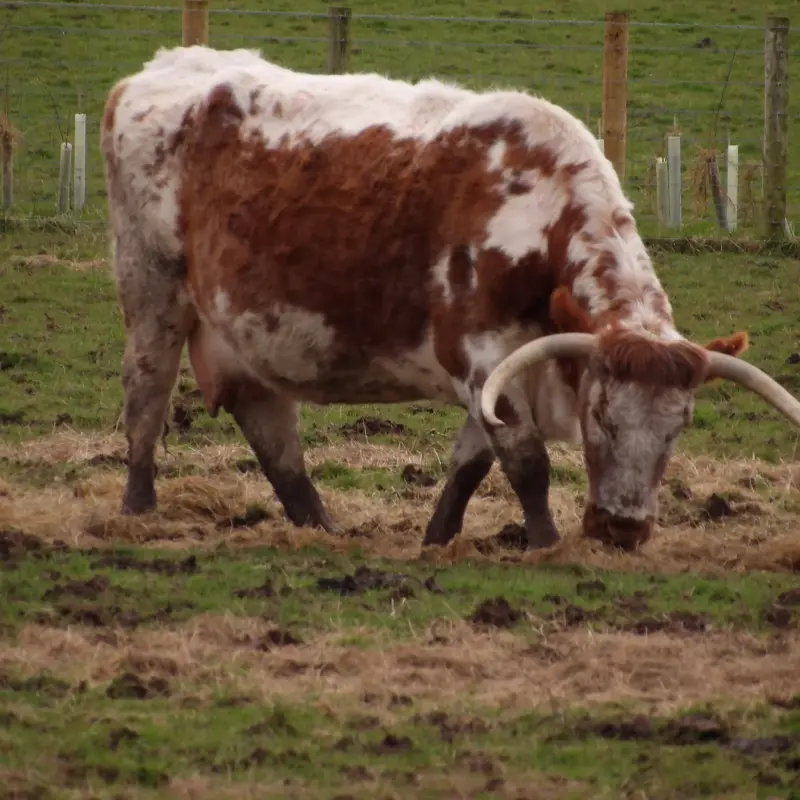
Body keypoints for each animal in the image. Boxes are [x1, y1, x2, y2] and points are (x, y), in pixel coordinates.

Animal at [101, 45, 800, 552]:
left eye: (679, 426)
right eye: (601, 415)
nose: (623, 528)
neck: (538, 216)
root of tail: (153, 70)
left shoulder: (504, 368)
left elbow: (471, 463)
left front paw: (437, 539)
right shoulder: (483, 357)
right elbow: (527, 463)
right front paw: (546, 546)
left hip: (245, 332)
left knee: (269, 427)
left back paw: (320, 529)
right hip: (152, 290)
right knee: (146, 394)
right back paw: (138, 510)